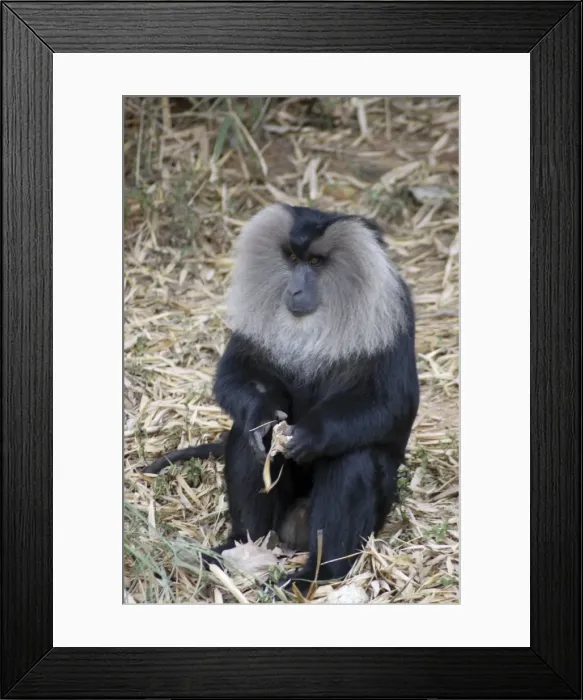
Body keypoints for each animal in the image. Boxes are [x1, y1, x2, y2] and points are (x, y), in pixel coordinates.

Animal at [144, 203, 419, 591]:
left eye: (316, 262)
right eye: (292, 258)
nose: (296, 289)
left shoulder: (394, 312)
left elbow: (392, 403)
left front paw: (311, 435)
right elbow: (235, 376)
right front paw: (263, 417)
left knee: (354, 457)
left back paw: (320, 572)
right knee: (247, 439)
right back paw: (239, 544)